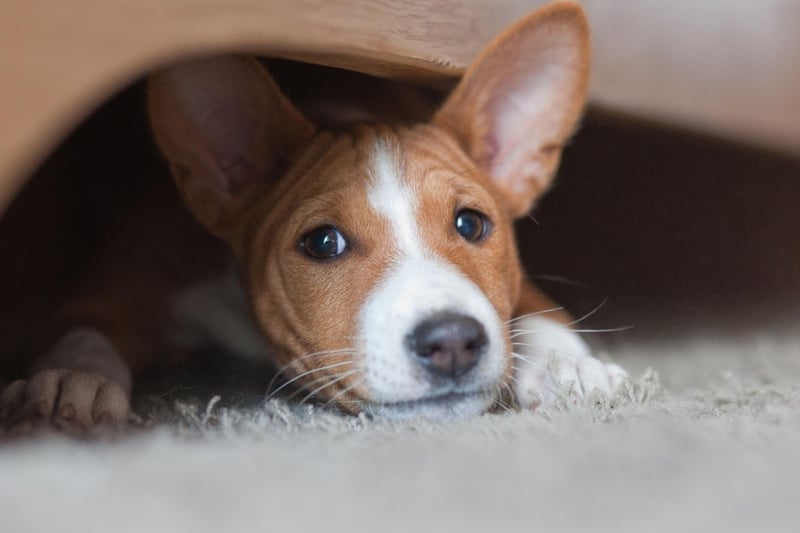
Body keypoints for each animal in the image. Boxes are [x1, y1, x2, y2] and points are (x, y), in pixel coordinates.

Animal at [0, 0, 624, 426]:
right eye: (323, 242)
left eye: (471, 224)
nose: (452, 341)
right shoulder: (111, 287)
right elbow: (82, 333)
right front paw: (69, 382)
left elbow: (535, 306)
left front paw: (568, 363)